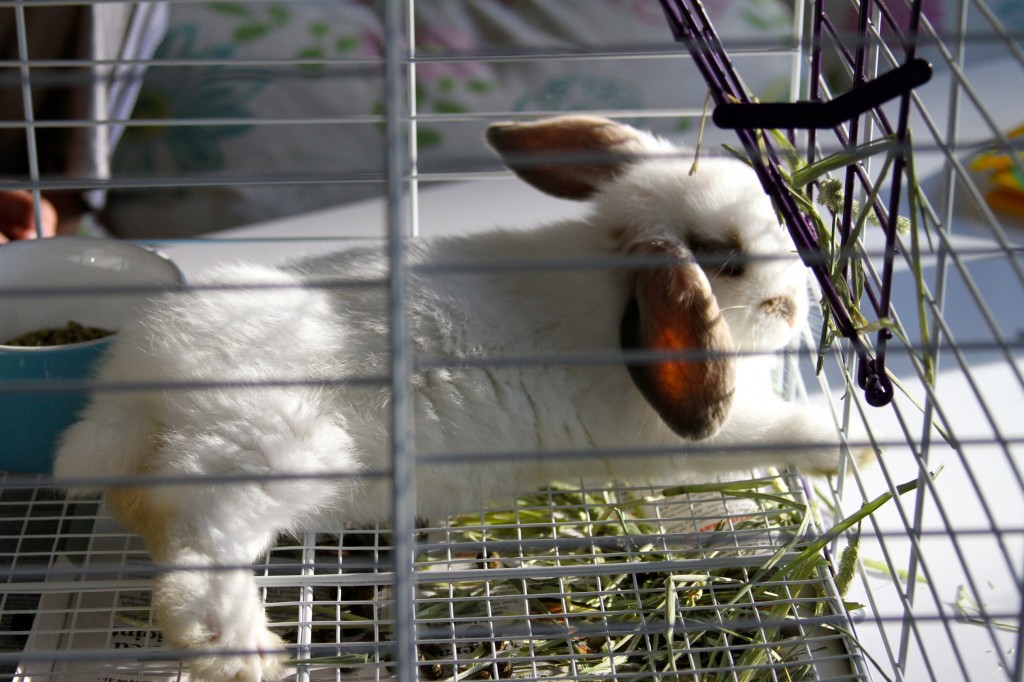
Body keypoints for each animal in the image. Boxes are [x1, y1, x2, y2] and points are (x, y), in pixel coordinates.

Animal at [54, 116, 872, 679]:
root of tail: (144, 377)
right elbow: (771, 431)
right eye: (727, 262)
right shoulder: (688, 438)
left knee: (152, 515)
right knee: (198, 550)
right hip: (276, 456)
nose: (797, 305)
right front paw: (853, 449)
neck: (615, 288)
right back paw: (243, 652)